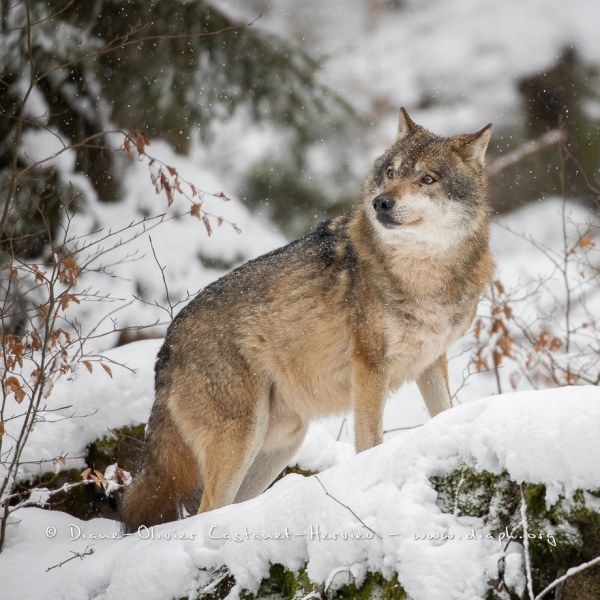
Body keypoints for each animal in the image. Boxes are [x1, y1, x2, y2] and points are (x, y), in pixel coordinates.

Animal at [119, 108, 494, 528]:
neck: (423, 276)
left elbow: (445, 412)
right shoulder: (370, 368)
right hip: (241, 440)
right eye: (391, 173)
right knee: (204, 509)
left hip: (279, 444)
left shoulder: (431, 362)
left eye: (427, 179)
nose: (381, 202)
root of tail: (167, 344)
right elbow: (370, 442)